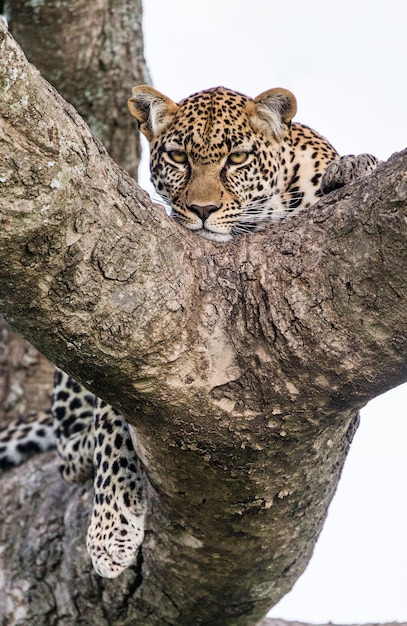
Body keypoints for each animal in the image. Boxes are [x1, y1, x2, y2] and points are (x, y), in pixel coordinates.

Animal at [0, 85, 380, 576]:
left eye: (237, 158)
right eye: (179, 157)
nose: (203, 210)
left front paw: (352, 167)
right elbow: (110, 426)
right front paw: (111, 531)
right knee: (69, 450)